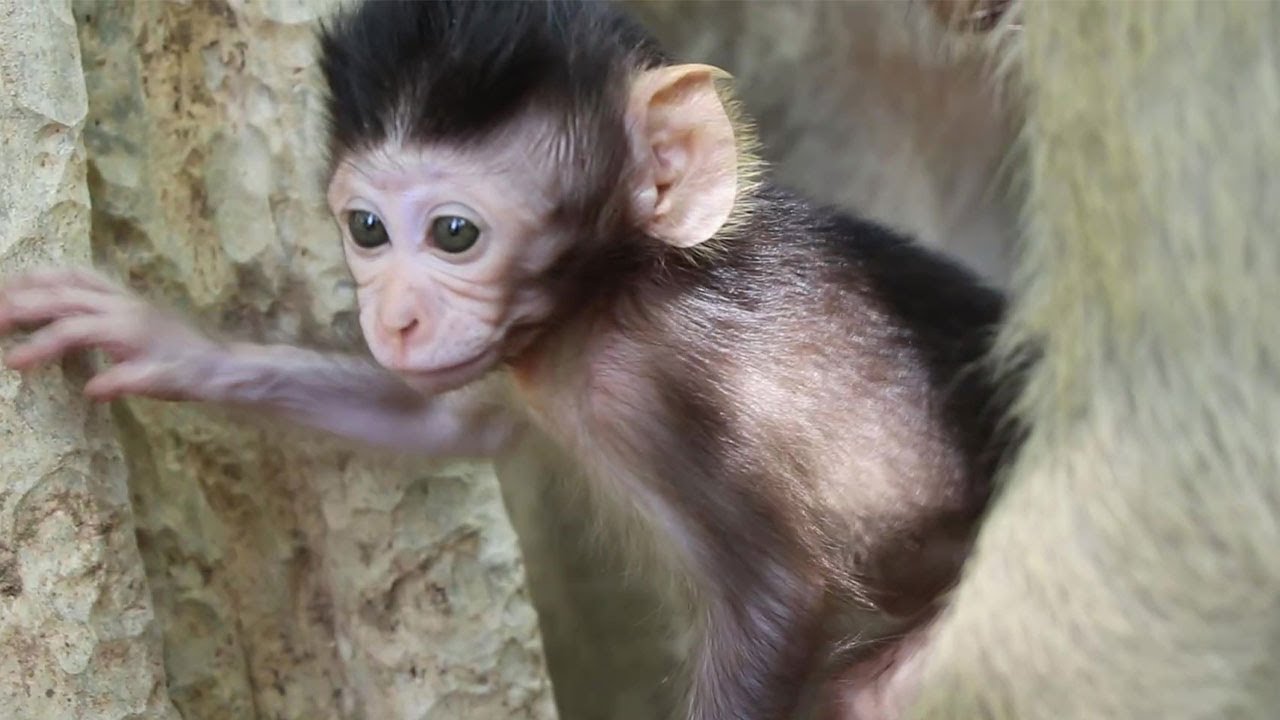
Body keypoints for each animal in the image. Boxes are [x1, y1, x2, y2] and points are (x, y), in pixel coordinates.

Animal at [0, 2, 1019, 718]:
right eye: (367, 229)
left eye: (454, 234)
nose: (397, 318)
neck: (611, 294)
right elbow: (445, 419)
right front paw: (158, 340)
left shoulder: (676, 389)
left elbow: (776, 603)